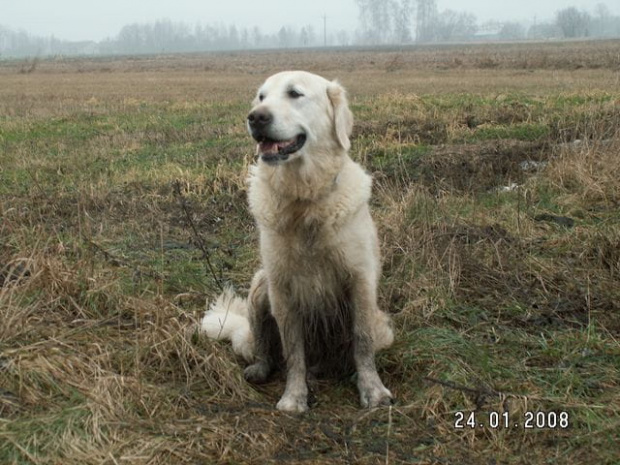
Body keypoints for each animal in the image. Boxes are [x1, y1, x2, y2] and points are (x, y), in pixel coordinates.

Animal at [206, 70, 394, 412]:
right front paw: (294, 397)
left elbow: (362, 341)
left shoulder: (360, 280)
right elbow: (293, 350)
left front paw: (372, 390)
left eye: (295, 93)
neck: (304, 200)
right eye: (261, 97)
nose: (256, 117)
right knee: (263, 346)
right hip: (259, 286)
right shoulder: (282, 288)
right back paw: (260, 368)